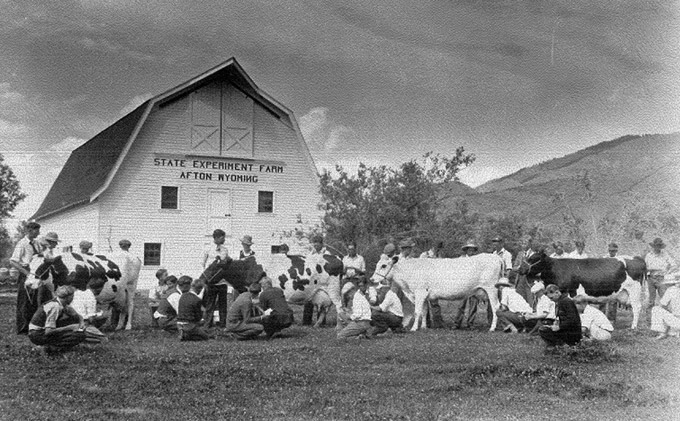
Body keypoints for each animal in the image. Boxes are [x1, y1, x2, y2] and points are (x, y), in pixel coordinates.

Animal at [370, 253, 502, 332]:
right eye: (377, 264)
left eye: (383, 265)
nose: (371, 279)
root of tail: (495, 257)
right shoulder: (424, 295)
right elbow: (424, 311)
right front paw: (423, 327)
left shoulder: (419, 292)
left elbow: (417, 312)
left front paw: (413, 328)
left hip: (491, 288)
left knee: (496, 307)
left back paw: (492, 328)